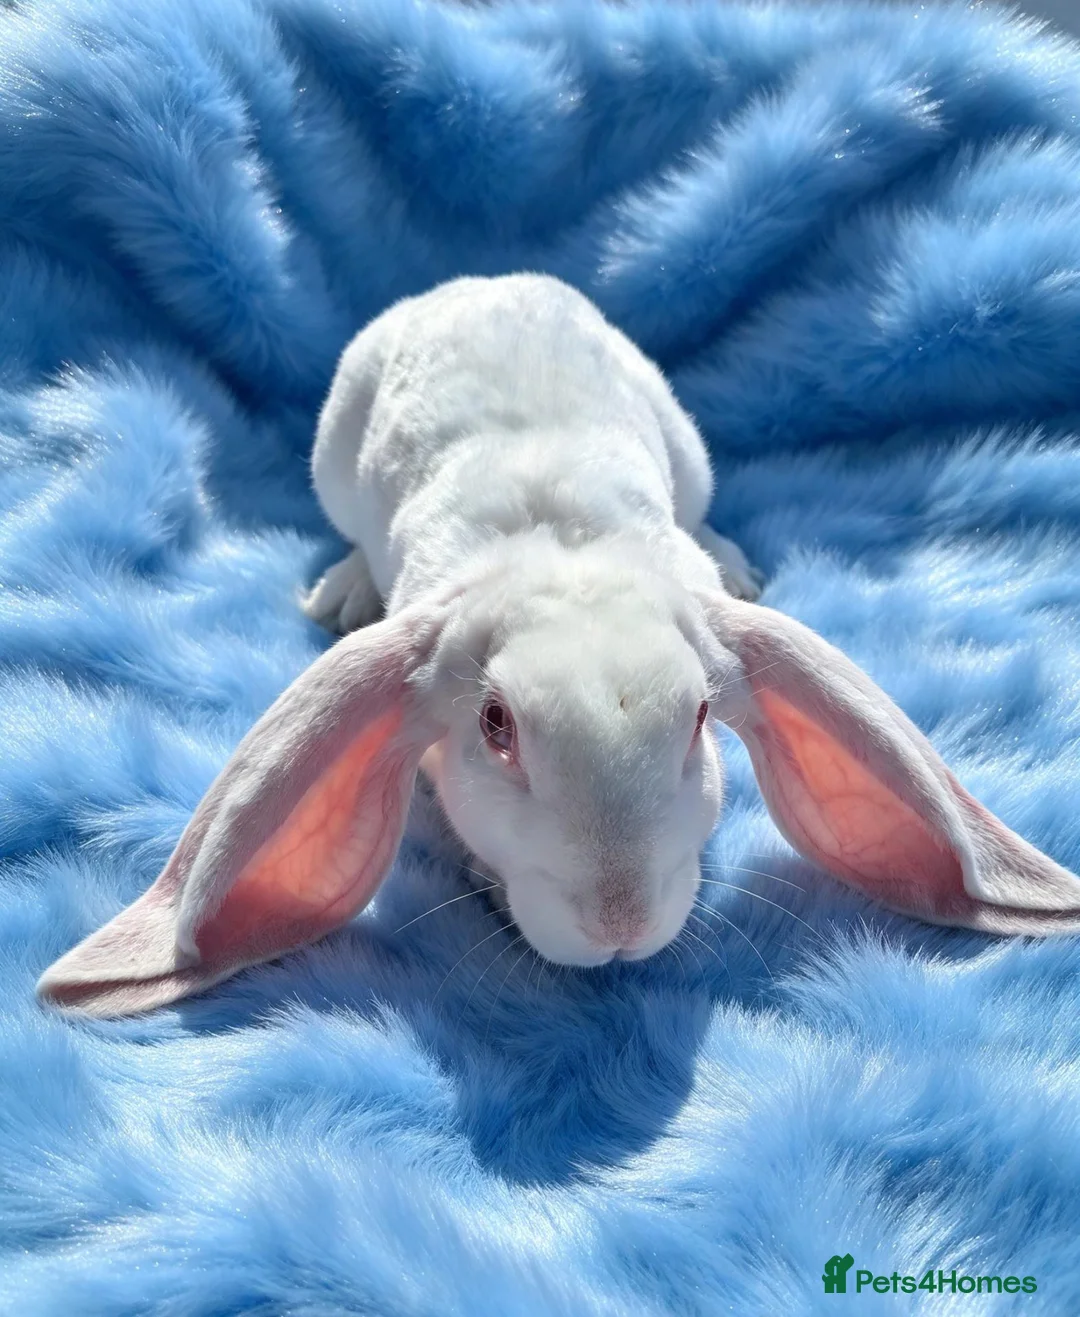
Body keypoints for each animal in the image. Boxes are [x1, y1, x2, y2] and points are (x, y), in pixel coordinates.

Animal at [38, 274, 1080, 1017]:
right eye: (496, 725)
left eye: (701, 717)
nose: (618, 923)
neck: (564, 547)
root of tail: (485, 280)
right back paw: (341, 591)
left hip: (684, 445)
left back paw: (737, 564)